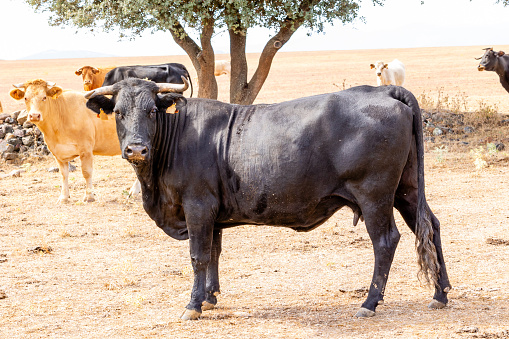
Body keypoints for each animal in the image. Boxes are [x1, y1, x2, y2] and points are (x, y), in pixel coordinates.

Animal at [85, 78, 450, 322]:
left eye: (151, 111)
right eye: (118, 113)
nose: (136, 149)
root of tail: (383, 90)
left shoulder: (197, 206)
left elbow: (198, 256)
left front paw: (193, 305)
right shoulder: (212, 213)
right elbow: (214, 253)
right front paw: (210, 297)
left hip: (375, 195)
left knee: (386, 241)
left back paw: (369, 303)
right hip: (407, 190)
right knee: (430, 227)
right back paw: (440, 294)